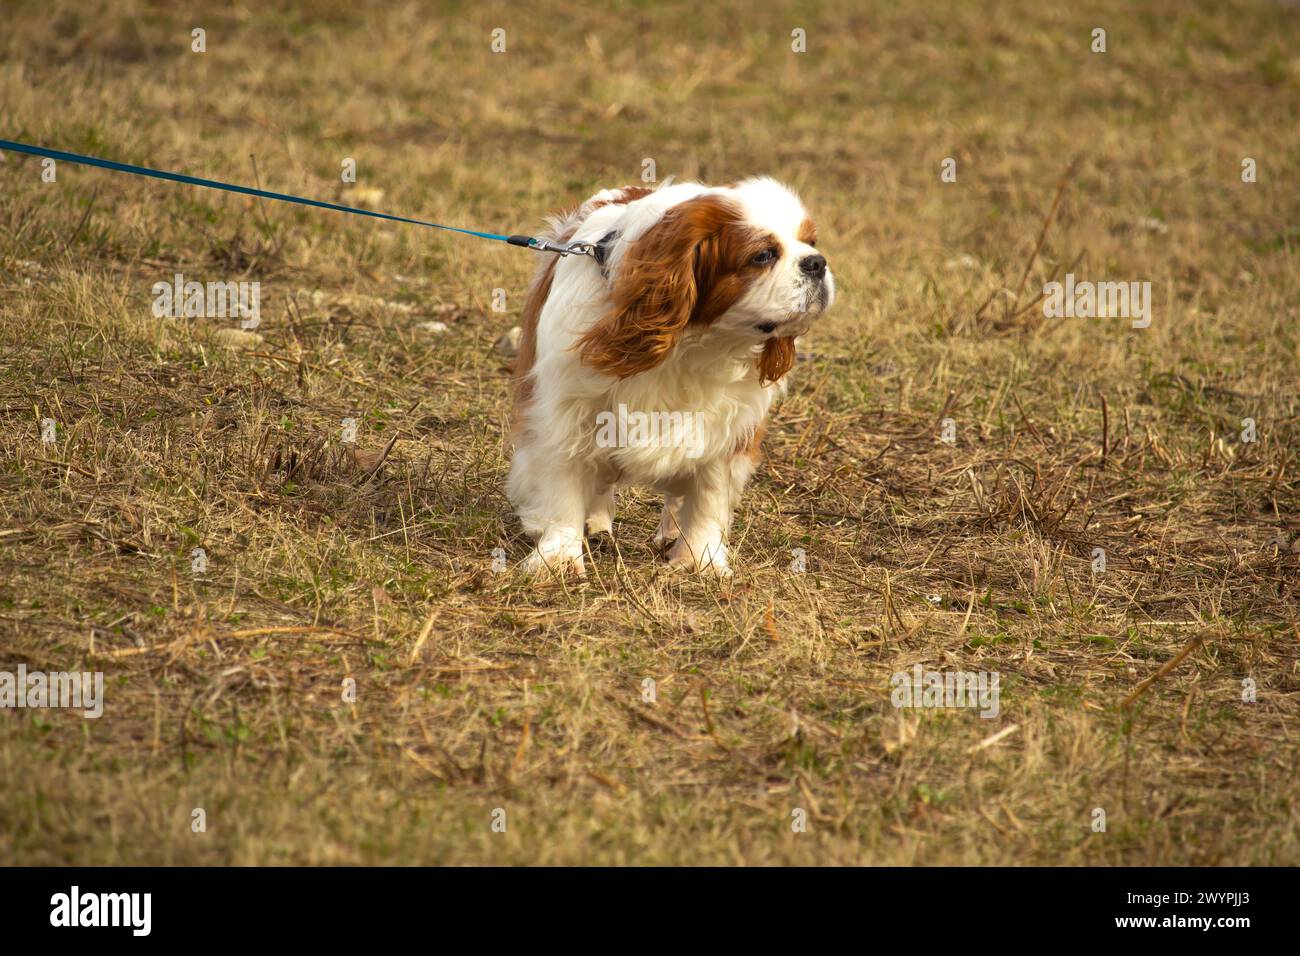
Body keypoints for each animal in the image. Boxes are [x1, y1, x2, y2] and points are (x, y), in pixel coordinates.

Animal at [506, 180, 832, 580]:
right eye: (763, 255)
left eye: (811, 242)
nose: (817, 262)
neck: (693, 344)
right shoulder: (564, 410)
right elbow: (563, 484)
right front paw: (560, 557)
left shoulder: (728, 426)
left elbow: (709, 493)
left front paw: (701, 559)